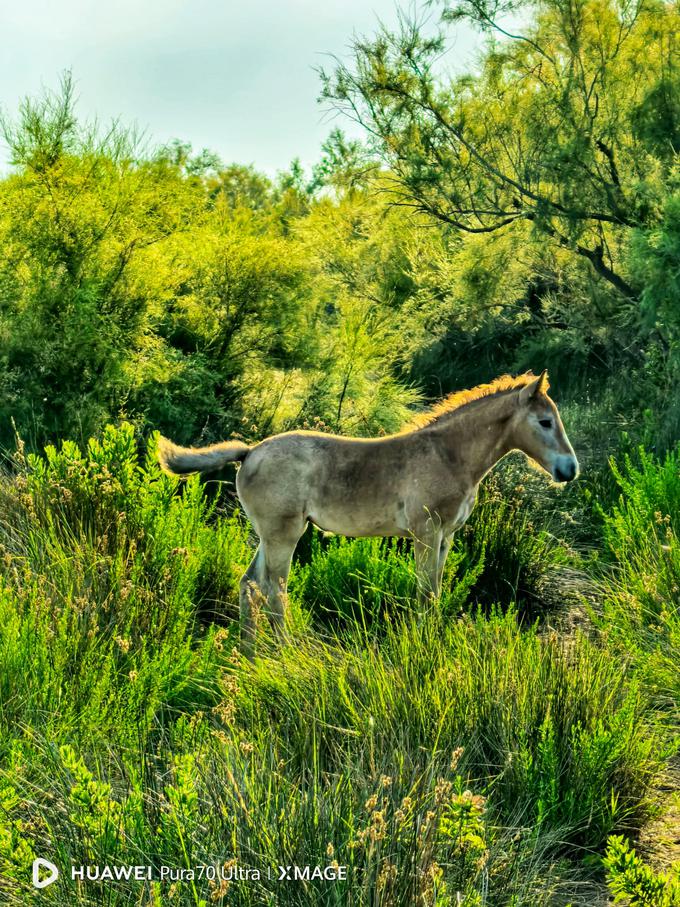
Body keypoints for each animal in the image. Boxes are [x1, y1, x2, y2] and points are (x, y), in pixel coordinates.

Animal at [159, 370, 580, 660]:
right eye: (545, 422)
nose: (570, 470)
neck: (449, 455)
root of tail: (249, 453)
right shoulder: (426, 533)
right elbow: (425, 593)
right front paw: (423, 646)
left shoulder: (446, 538)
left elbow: (436, 591)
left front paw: (433, 641)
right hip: (283, 535)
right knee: (274, 588)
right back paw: (284, 651)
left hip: (267, 536)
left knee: (250, 584)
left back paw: (249, 651)